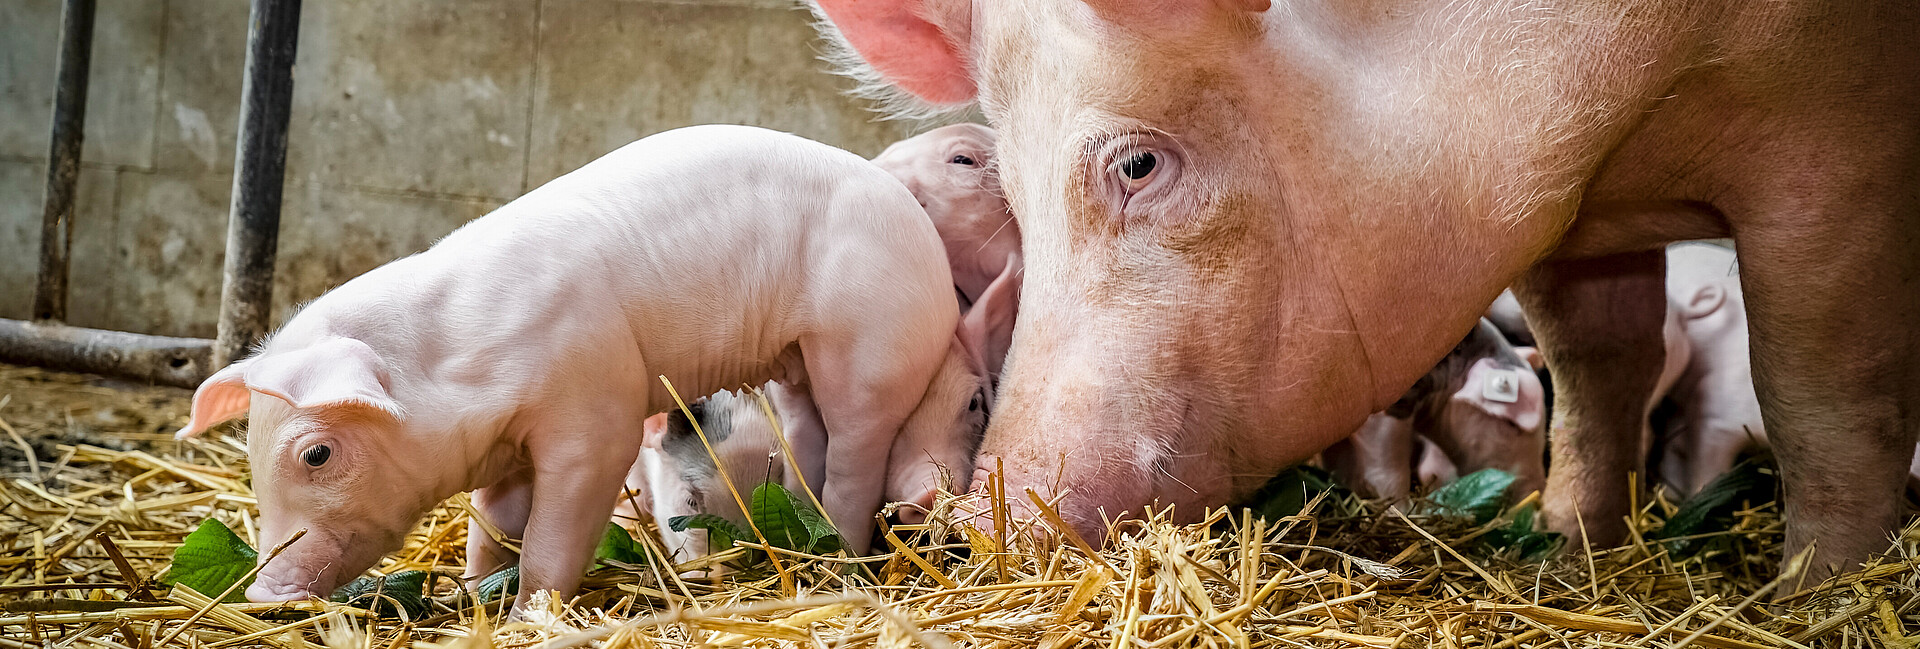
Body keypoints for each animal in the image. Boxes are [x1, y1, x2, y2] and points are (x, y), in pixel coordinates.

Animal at [174, 123, 983, 610]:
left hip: (868, 351)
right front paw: (473, 592)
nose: (263, 594)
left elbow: (554, 532)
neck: (458, 365)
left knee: (856, 451)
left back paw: (837, 559)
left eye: (316, 453)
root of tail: (918, 230)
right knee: (809, 433)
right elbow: (492, 521)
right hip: (798, 364)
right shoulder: (504, 448)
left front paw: (530, 611)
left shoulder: (595, 416)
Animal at [810, 0, 1920, 579]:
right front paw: (1569, 544)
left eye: (1136, 164)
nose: (984, 516)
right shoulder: (1569, 223)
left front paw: (1817, 592)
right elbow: (1593, 367)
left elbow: (1819, 394)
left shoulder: (1842, 157)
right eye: (1006, 182)